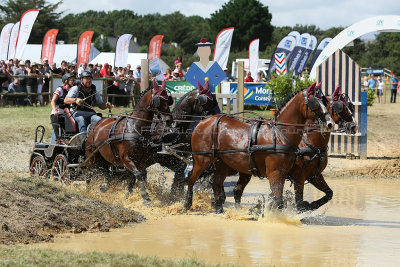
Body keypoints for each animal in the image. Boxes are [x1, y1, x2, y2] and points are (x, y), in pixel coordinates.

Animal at [184, 84, 334, 214]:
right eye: (315, 103)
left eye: (325, 101)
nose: (330, 123)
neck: (279, 135)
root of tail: (203, 121)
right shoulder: (279, 173)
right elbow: (280, 201)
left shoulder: (305, 175)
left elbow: (326, 194)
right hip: (202, 159)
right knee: (191, 179)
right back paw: (187, 204)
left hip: (225, 164)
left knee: (217, 184)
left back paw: (220, 209)